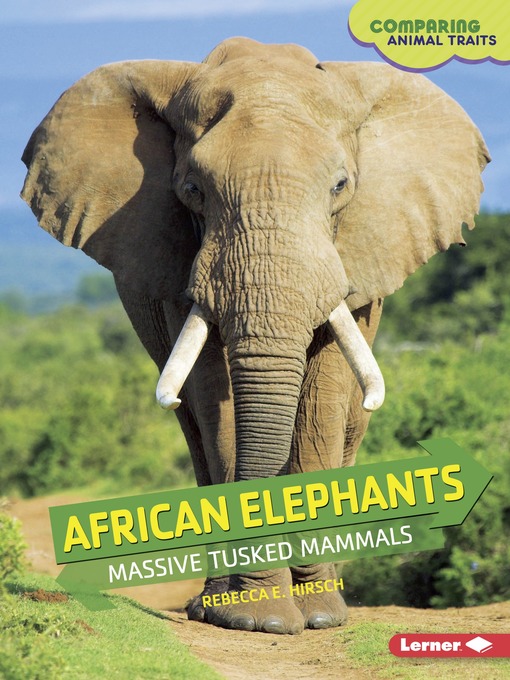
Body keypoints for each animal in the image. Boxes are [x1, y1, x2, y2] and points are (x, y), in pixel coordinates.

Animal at [21, 37, 489, 635]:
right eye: (192, 190)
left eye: (340, 186)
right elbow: (213, 399)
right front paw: (252, 617)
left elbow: (322, 396)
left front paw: (315, 615)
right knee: (195, 431)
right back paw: (211, 605)